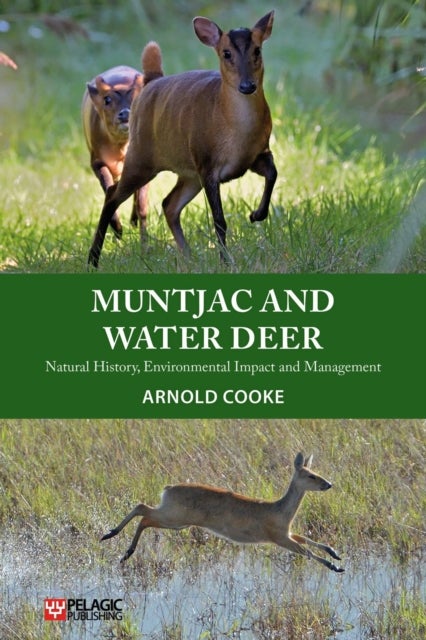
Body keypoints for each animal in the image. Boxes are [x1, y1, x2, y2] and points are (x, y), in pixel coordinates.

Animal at [82, 42, 162, 242]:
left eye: (137, 98)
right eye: (107, 99)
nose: (125, 113)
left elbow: (142, 203)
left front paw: (143, 237)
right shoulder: (96, 160)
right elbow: (107, 187)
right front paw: (118, 229)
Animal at [102, 452, 344, 573]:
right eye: (311, 475)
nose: (329, 484)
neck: (280, 510)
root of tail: (168, 488)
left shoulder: (287, 533)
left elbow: (308, 540)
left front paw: (335, 553)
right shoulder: (279, 537)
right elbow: (307, 551)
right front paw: (335, 567)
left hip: (175, 519)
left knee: (143, 510)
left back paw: (117, 542)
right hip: (174, 518)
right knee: (143, 512)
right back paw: (118, 544)